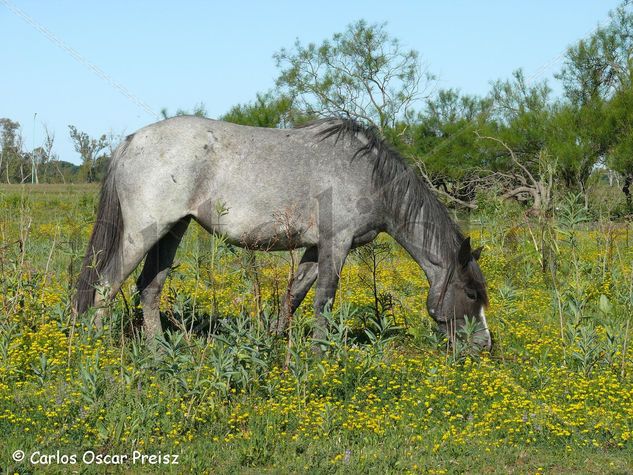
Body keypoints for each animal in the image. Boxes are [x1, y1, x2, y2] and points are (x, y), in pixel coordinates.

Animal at [73, 115, 488, 350]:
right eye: (470, 293)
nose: (483, 345)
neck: (369, 176)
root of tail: (131, 141)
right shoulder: (336, 244)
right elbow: (323, 301)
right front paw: (321, 355)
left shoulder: (315, 248)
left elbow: (294, 295)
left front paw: (274, 344)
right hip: (143, 233)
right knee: (106, 285)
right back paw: (99, 350)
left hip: (173, 231)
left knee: (149, 287)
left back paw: (159, 352)